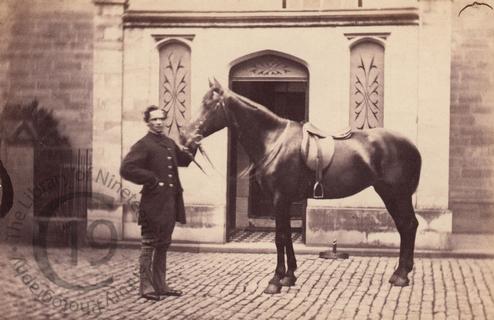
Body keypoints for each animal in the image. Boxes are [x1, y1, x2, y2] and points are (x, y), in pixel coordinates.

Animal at [181, 79, 420, 294]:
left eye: (209, 104)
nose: (185, 137)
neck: (274, 141)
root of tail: (412, 145)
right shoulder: (284, 201)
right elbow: (287, 236)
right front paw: (289, 276)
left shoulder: (279, 199)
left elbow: (280, 237)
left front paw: (275, 280)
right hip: (389, 194)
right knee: (404, 226)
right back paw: (400, 273)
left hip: (397, 195)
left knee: (408, 226)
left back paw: (402, 276)